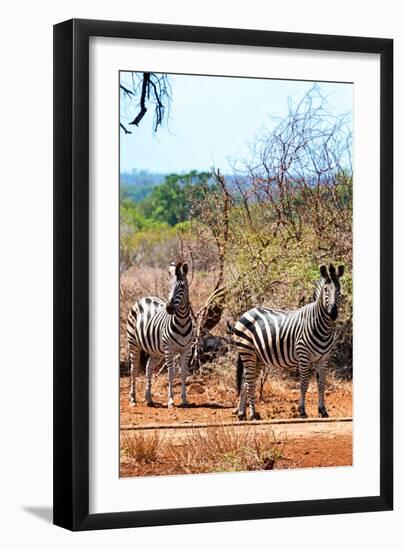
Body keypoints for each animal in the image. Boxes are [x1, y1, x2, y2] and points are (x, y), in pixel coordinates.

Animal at [128, 264, 194, 410]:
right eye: (170, 286)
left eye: (182, 286)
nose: (169, 308)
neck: (182, 321)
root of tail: (145, 298)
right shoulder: (169, 349)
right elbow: (171, 373)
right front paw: (171, 401)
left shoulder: (186, 349)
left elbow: (183, 373)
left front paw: (184, 400)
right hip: (133, 343)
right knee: (134, 370)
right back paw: (133, 399)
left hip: (156, 351)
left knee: (148, 368)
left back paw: (149, 399)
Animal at [235, 266, 346, 420]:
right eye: (325, 290)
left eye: (339, 288)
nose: (333, 312)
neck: (323, 326)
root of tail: (247, 312)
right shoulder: (303, 355)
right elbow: (304, 383)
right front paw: (302, 411)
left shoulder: (323, 359)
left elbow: (322, 384)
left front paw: (323, 411)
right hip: (247, 351)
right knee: (250, 382)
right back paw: (253, 415)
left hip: (257, 357)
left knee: (245, 381)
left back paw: (242, 414)